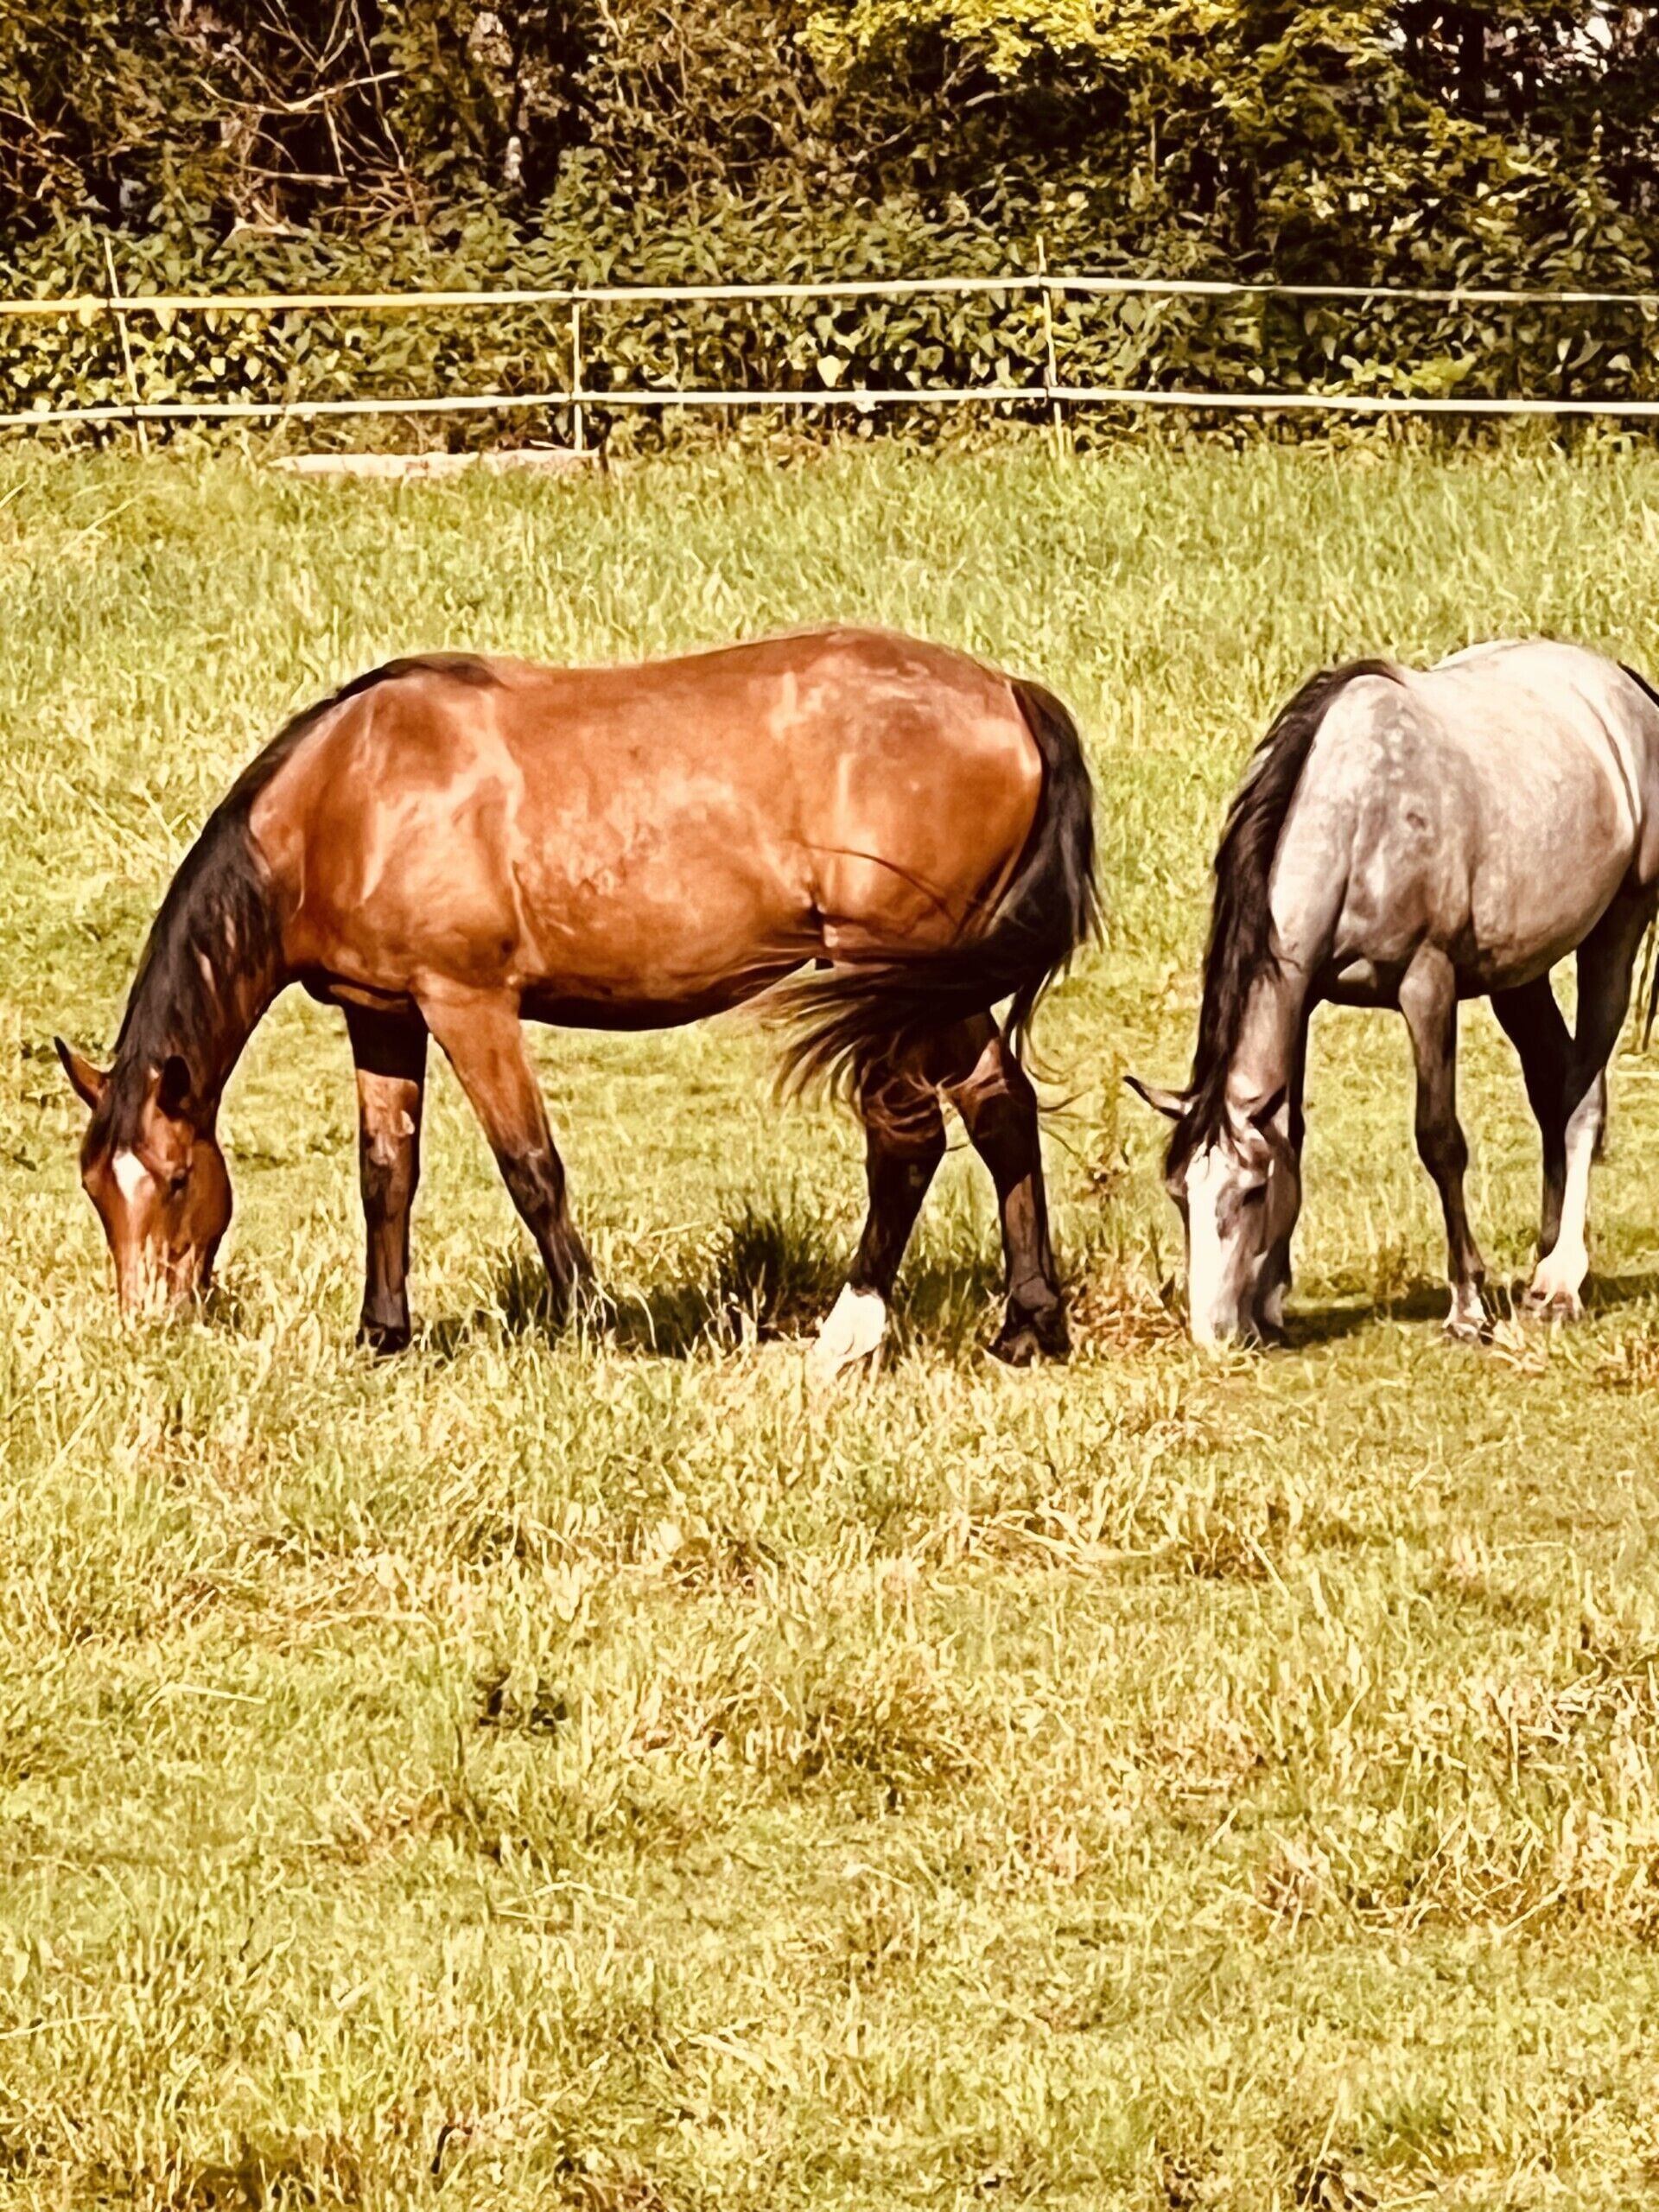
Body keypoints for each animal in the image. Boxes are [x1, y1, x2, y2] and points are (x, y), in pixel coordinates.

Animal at [55, 626, 1097, 1379]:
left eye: (176, 1180)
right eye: (99, 1187)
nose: (151, 1323)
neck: (347, 796)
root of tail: (1011, 694)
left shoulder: (468, 1003)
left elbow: (531, 1169)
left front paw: (593, 1321)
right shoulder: (381, 1011)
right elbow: (385, 1171)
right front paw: (381, 1334)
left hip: (895, 972)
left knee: (907, 1142)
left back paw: (848, 1335)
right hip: (939, 982)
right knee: (1001, 1109)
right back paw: (1028, 1327)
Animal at [1128, 639, 1659, 1347]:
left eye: (1251, 1191)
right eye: (1178, 1193)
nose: (1216, 1337)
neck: (1359, 819)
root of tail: (1627, 688)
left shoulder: (1427, 985)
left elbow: (1440, 1140)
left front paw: (1468, 1303)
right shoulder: (1302, 993)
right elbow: (1292, 1132)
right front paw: (1271, 1299)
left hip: (1615, 933)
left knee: (1582, 1100)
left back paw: (1560, 1281)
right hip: (1521, 975)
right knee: (1555, 1090)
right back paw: (1543, 1259)